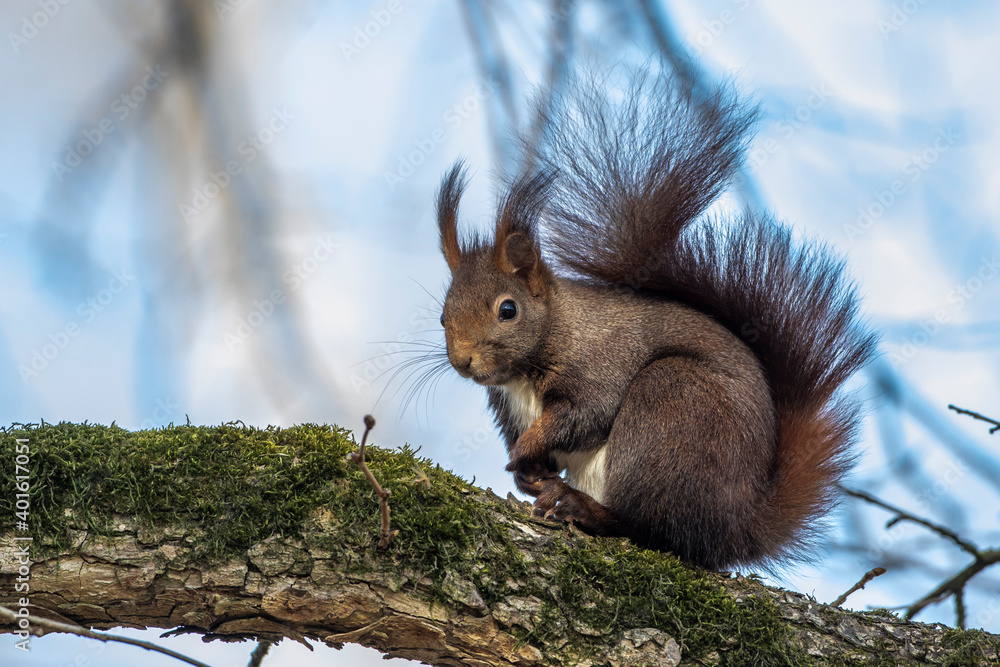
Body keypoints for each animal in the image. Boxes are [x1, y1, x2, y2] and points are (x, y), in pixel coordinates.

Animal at [433, 70, 878, 570]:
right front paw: (527, 472)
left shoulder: (602, 362)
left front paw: (528, 451)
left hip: (669, 410)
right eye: (443, 315)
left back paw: (581, 507)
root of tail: (738, 527)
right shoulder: (507, 407)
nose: (463, 361)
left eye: (507, 310)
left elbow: (588, 412)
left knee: (653, 530)